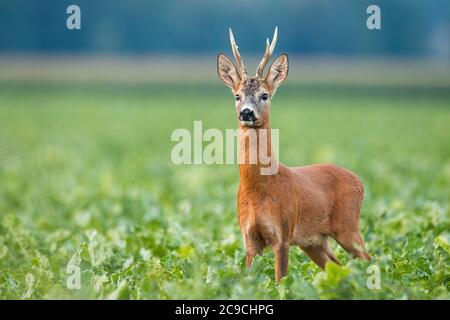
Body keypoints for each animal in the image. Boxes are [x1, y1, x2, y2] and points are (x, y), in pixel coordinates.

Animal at [217, 26, 370, 282]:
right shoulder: (249, 239)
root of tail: (359, 181)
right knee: (336, 265)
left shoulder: (283, 235)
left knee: (369, 259)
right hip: (314, 241)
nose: (246, 113)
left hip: (348, 227)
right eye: (236, 95)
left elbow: (281, 281)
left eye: (264, 95)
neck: (259, 189)